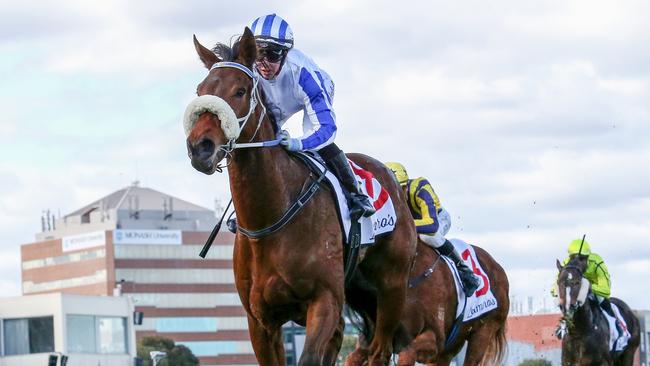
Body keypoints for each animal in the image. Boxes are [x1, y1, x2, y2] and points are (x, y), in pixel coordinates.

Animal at [185, 27, 412, 364]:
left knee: (381, 349)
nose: (200, 147)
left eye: (240, 91)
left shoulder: (324, 301)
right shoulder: (260, 321)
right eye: (200, 91)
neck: (271, 218)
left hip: (392, 288)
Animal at [346, 239, 508, 364]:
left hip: (483, 332)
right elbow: (352, 357)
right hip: (454, 343)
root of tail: (498, 268)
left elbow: (408, 352)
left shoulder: (435, 338)